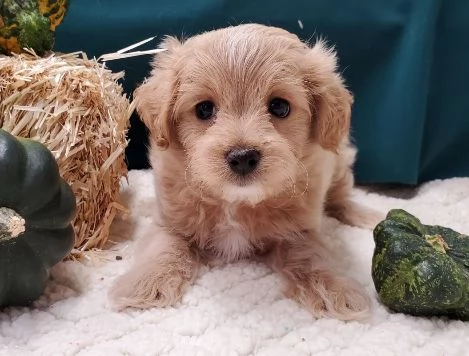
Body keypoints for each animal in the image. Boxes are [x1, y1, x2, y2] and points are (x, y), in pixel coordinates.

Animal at [110, 24, 384, 320]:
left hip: (340, 162)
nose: (242, 157)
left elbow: (310, 254)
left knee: (341, 197)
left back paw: (368, 215)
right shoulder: (170, 220)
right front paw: (147, 282)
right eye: (204, 109)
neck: (237, 201)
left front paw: (334, 288)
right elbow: (164, 246)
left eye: (280, 107)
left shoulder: (300, 229)